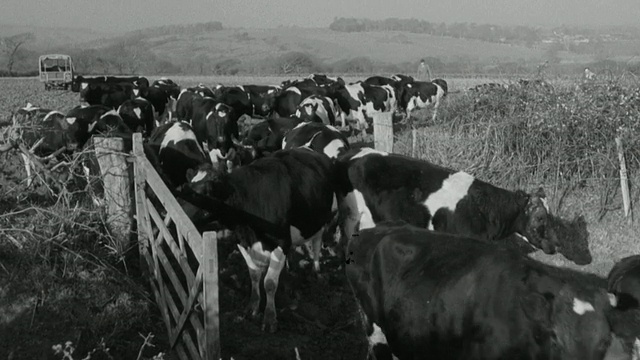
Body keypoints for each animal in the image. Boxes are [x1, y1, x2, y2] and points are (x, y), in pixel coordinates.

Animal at [179, 148, 338, 334]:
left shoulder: (281, 241)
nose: (179, 209)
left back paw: (316, 271)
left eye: (206, 192)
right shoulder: (241, 239)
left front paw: (270, 318)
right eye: (187, 186)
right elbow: (254, 274)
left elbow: (269, 282)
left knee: (317, 244)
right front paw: (252, 307)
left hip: (323, 220)